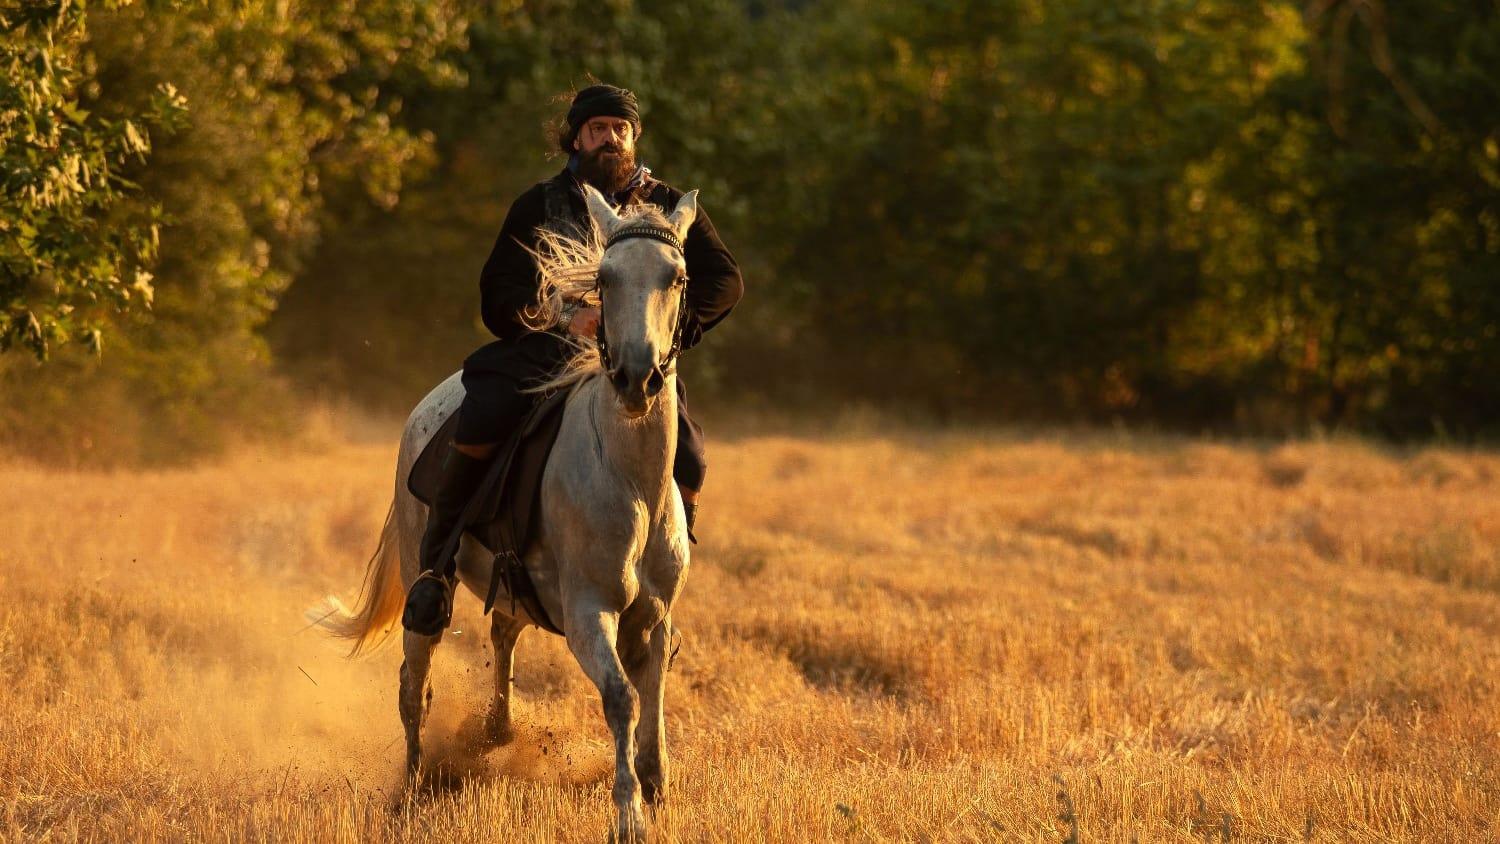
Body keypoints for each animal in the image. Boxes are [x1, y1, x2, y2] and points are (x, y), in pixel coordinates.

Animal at [313, 186, 699, 844]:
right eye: (604, 278)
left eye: (676, 277)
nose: (637, 378)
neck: (631, 480)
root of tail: (427, 406)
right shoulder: (588, 614)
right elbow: (622, 698)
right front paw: (629, 816)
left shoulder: (653, 617)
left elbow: (652, 701)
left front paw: (657, 789)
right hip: (424, 578)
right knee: (413, 684)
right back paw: (411, 791)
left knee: (502, 630)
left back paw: (496, 730)